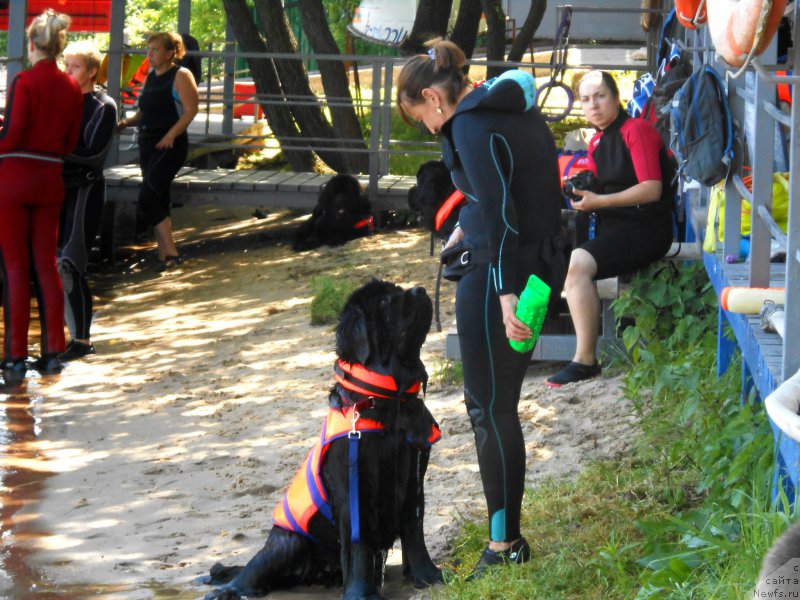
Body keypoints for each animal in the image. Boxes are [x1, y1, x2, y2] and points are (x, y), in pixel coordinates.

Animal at [198, 278, 440, 600]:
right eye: (385, 302)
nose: (421, 290)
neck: (389, 403)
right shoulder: (352, 489)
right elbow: (358, 544)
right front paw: (361, 594)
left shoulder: (413, 478)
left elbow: (414, 531)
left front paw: (427, 575)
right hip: (288, 541)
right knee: (253, 569)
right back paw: (227, 589)